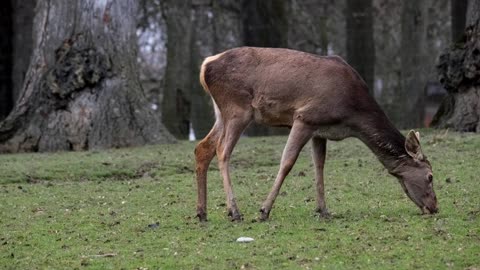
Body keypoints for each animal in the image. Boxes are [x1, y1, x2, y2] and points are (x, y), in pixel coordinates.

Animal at [195, 47, 438, 221]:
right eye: (430, 176)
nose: (434, 207)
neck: (352, 115)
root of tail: (205, 65)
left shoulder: (320, 130)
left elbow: (319, 165)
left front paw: (323, 210)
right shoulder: (305, 117)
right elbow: (287, 162)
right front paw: (264, 210)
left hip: (221, 113)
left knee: (202, 148)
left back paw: (202, 212)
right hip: (238, 108)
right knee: (222, 151)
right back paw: (234, 211)